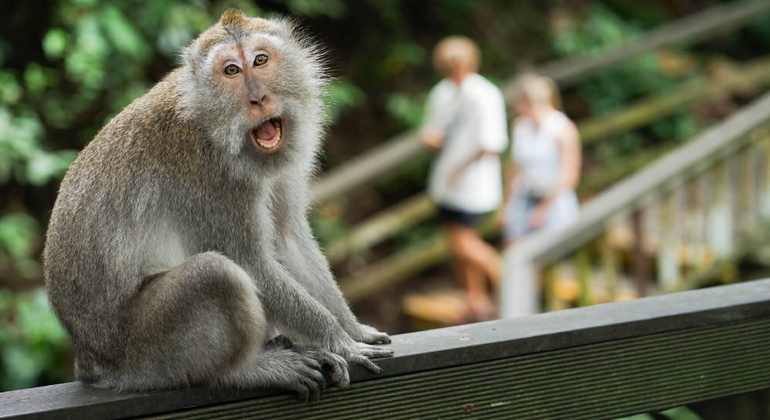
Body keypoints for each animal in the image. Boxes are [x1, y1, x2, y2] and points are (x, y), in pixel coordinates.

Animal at [43, 9, 393, 401]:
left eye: (260, 60)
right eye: (231, 71)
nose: (258, 98)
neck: (214, 125)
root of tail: (88, 358)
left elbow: (288, 238)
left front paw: (354, 329)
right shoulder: (211, 178)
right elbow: (251, 264)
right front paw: (338, 340)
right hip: (141, 350)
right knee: (215, 274)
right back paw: (247, 370)